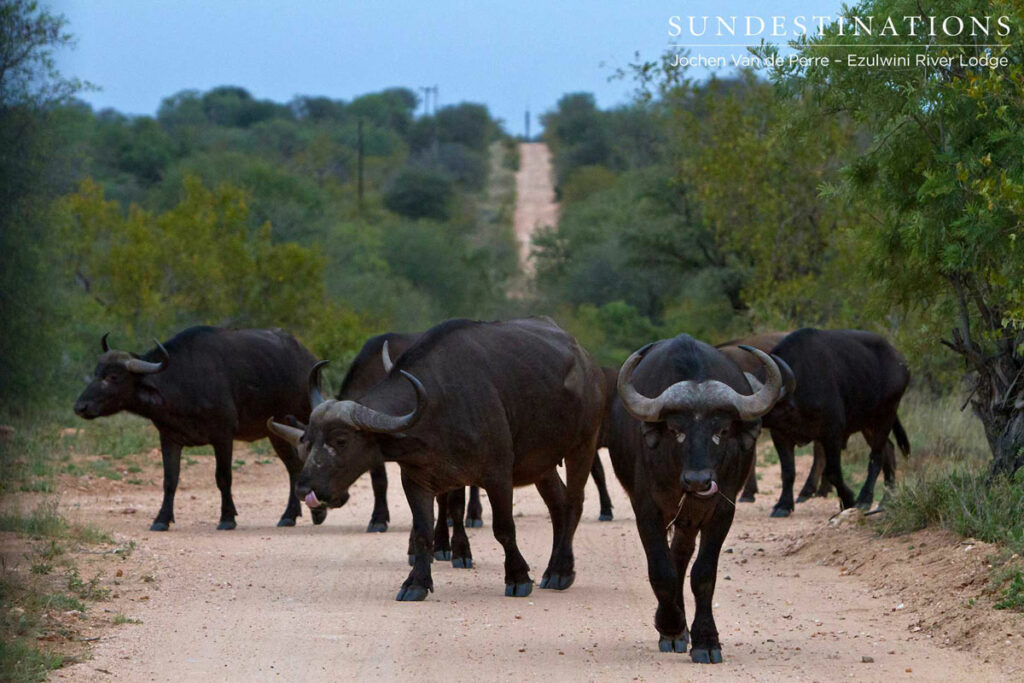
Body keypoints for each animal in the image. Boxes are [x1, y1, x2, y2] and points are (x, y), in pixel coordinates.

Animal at [73, 326, 321, 531]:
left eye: (113, 376)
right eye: (96, 373)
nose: (80, 407)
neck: (183, 381)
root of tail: (307, 357)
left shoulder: (223, 436)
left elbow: (223, 477)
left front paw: (227, 518)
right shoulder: (169, 438)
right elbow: (170, 480)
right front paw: (161, 519)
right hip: (275, 432)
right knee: (293, 467)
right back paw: (290, 515)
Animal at [283, 317, 605, 600]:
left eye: (341, 440)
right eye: (308, 439)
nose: (304, 489)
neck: (438, 405)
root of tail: (586, 361)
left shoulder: (498, 475)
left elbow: (503, 529)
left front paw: (517, 578)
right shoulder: (416, 480)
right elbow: (423, 532)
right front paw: (416, 583)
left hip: (583, 445)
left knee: (574, 502)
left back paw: (561, 571)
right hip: (542, 463)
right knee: (558, 503)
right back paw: (553, 568)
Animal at [608, 334, 786, 662]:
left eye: (722, 430)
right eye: (675, 429)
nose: (698, 480)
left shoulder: (722, 512)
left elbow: (703, 574)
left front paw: (706, 639)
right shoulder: (646, 510)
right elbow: (660, 570)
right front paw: (671, 627)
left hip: (690, 520)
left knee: (681, 555)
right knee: (672, 558)